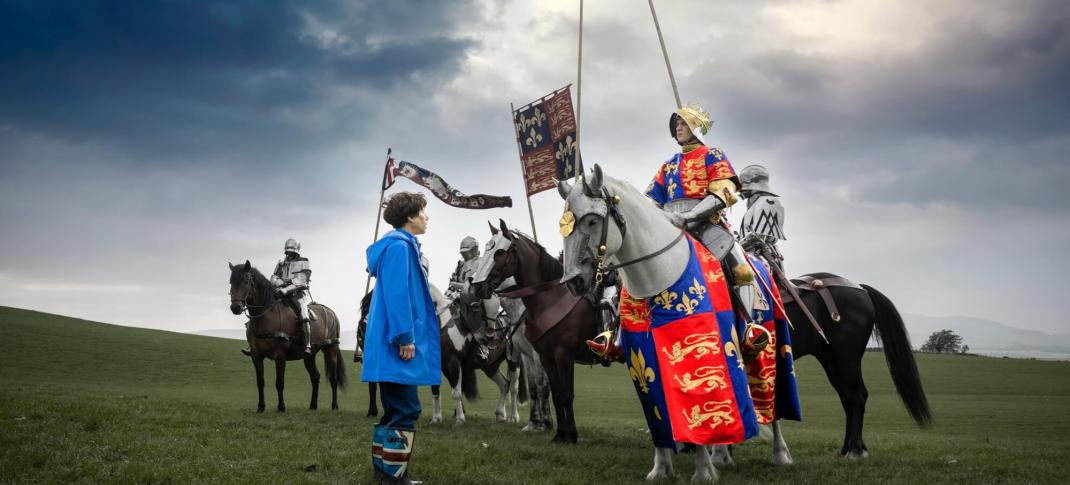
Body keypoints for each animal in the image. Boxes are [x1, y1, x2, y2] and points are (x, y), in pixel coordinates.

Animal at [228, 261, 346, 411]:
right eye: (231, 282)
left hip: (331, 350)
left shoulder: (280, 355)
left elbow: (279, 382)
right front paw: (261, 407)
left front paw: (281, 407)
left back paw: (334, 406)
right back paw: (313, 406)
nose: (235, 307)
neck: (265, 316)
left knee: (333, 379)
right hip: (309, 356)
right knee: (315, 377)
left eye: (247, 279)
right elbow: (260, 382)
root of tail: (330, 312)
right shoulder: (256, 355)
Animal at [470, 220, 599, 443]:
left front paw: (552, 427)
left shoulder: (559, 355)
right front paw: (541, 425)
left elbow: (552, 390)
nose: (477, 286)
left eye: (499, 252)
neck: (551, 299)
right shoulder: (534, 355)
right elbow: (542, 390)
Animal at [556, 164, 791, 479]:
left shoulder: (695, 352)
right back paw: (721, 454)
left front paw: (702, 472)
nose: (573, 282)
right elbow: (657, 411)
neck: (659, 274)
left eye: (593, 220)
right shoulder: (641, 357)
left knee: (771, 400)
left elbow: (695, 405)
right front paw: (662, 469)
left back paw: (780, 453)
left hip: (768, 347)